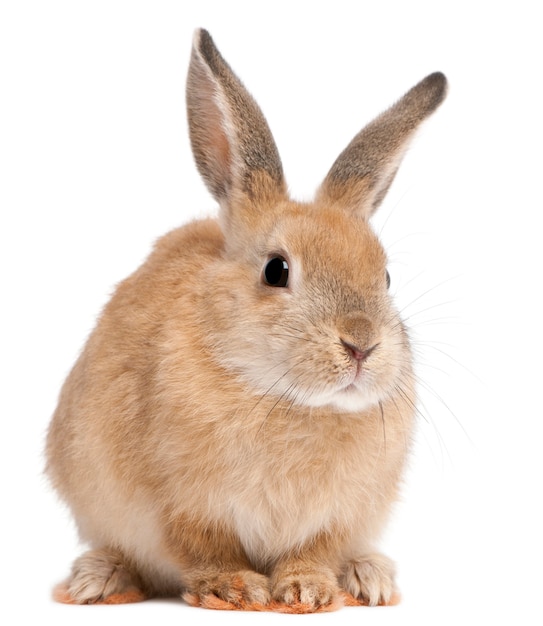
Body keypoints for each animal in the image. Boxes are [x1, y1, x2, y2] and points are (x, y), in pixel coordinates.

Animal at [45, 29, 446, 608]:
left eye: (386, 276)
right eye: (277, 270)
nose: (361, 345)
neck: (288, 400)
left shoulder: (338, 517)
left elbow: (314, 552)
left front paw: (307, 591)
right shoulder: (182, 507)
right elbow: (204, 550)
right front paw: (235, 589)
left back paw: (370, 578)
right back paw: (97, 581)